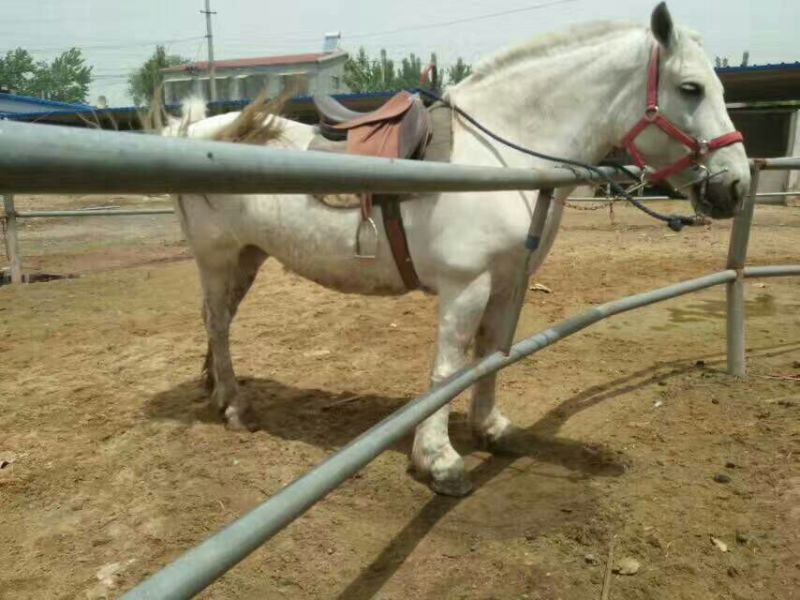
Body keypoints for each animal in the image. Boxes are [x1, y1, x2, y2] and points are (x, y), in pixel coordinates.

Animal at [165, 3, 750, 496]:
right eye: (691, 88)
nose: (736, 186)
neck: (499, 156)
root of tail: (191, 130)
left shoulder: (510, 280)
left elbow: (491, 354)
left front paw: (490, 427)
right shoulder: (466, 285)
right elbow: (446, 369)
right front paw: (438, 460)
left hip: (246, 257)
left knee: (218, 321)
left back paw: (216, 389)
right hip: (218, 258)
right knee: (216, 322)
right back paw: (235, 407)